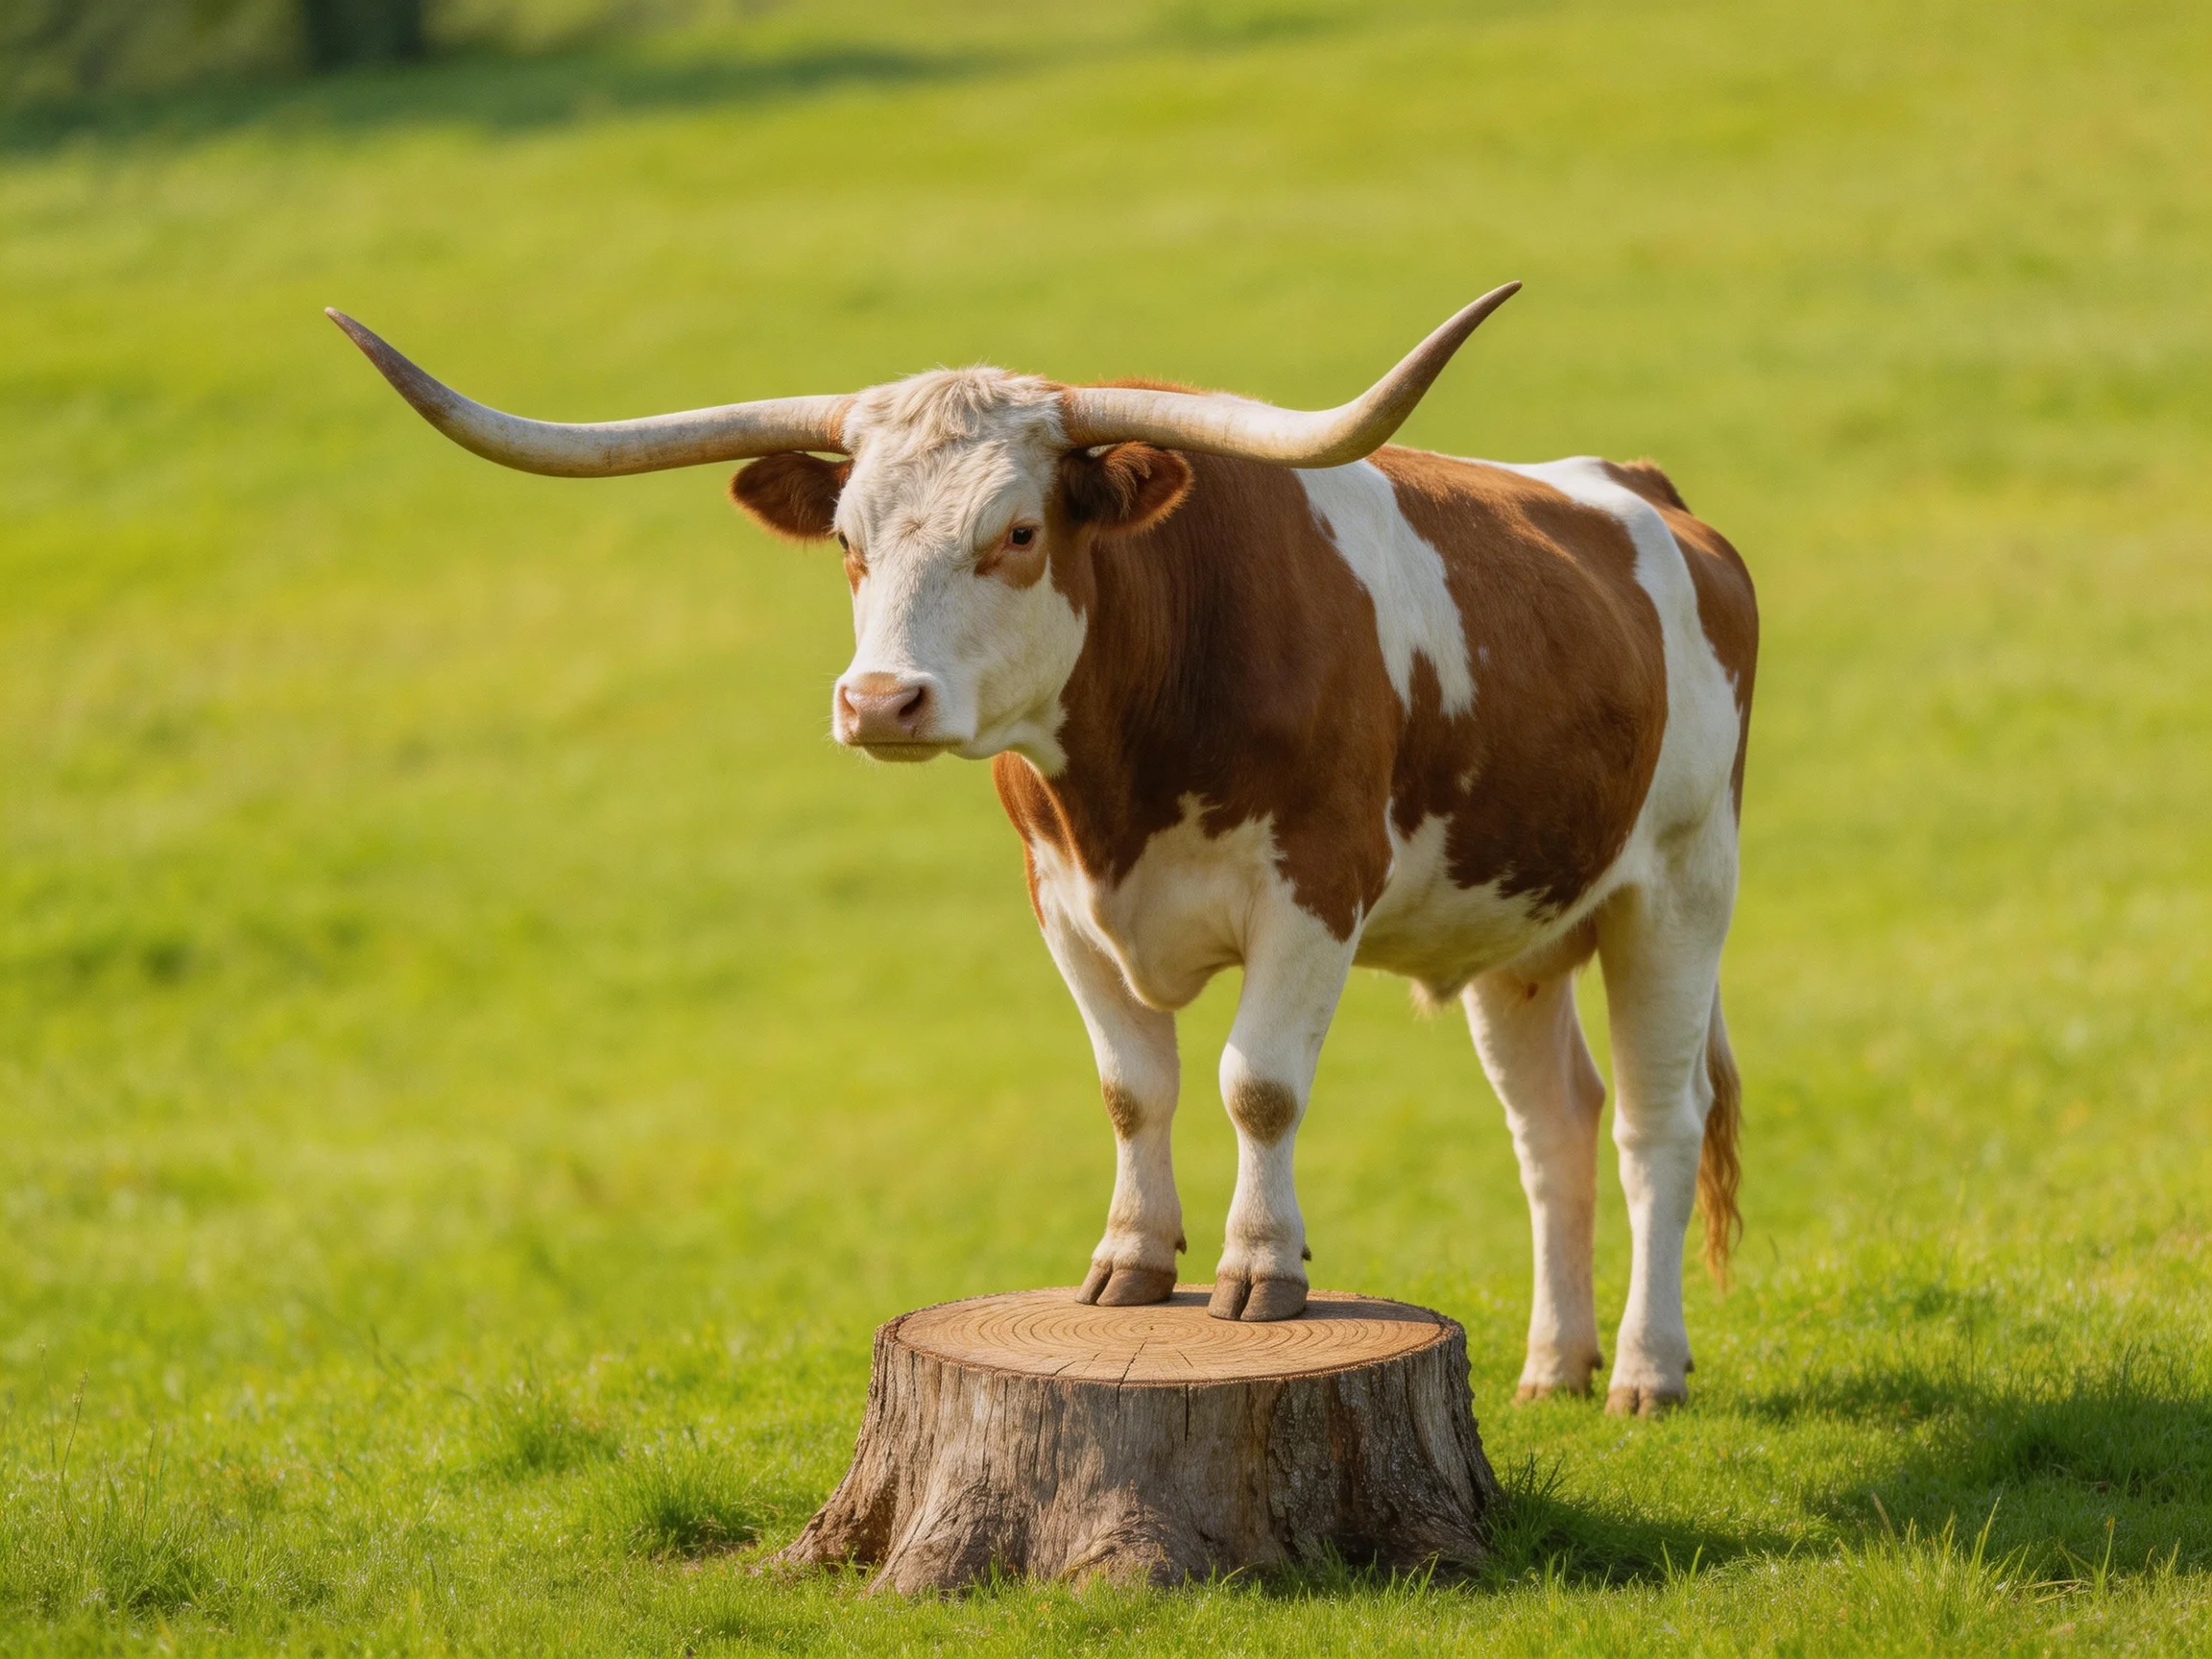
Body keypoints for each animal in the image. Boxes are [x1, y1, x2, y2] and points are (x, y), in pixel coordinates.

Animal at [329, 285, 1756, 1414]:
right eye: (846, 541)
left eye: (1016, 532)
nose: (879, 703)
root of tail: (1650, 497)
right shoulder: (1063, 903)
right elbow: (1133, 1088)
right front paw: (1130, 1263)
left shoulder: (1314, 892)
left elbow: (1256, 1085)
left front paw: (1259, 1272)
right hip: (1520, 930)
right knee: (1552, 1127)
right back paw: (1551, 1366)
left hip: (1681, 890)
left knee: (1655, 1124)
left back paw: (1645, 1371)